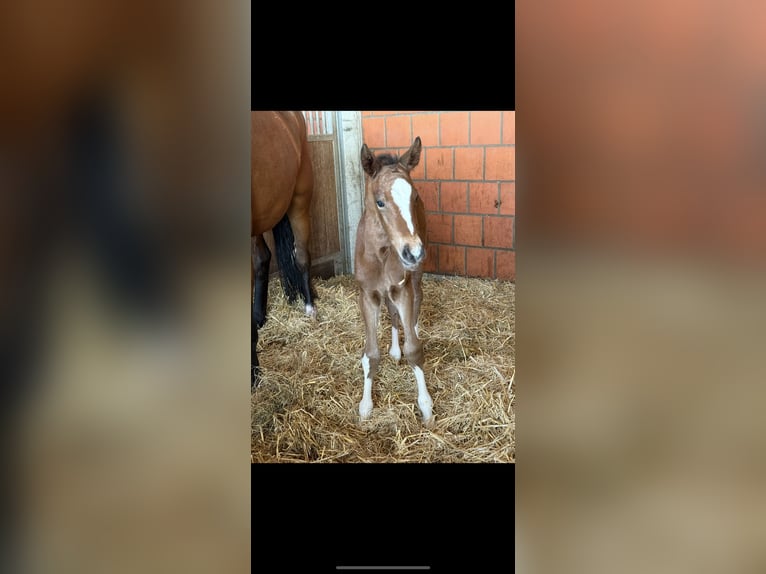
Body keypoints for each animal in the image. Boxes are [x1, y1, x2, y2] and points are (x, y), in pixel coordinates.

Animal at [354, 136, 434, 426]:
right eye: (379, 202)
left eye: (414, 196)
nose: (413, 252)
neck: (381, 254)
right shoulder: (367, 295)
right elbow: (371, 354)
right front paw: (365, 406)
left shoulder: (403, 288)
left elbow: (414, 350)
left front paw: (426, 407)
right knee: (391, 313)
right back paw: (395, 350)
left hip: (416, 277)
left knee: (418, 301)